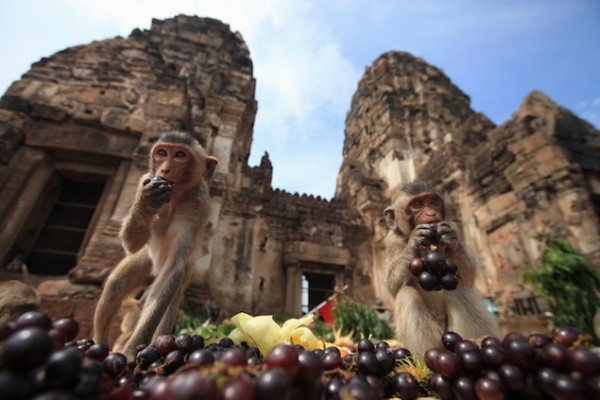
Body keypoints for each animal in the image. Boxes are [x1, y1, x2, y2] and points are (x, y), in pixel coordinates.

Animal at [92, 130, 217, 358]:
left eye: (179, 155)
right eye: (161, 153)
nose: (164, 169)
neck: (174, 198)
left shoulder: (199, 204)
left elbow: (173, 267)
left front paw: (131, 352)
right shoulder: (144, 179)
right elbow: (132, 244)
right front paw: (146, 201)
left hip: (184, 275)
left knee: (172, 293)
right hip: (146, 261)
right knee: (115, 284)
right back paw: (99, 344)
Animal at [384, 180, 502, 354]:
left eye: (434, 202)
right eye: (417, 204)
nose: (431, 214)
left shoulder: (454, 226)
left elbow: (470, 275)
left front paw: (450, 238)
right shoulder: (392, 240)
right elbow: (392, 287)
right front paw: (414, 241)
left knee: (459, 286)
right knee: (406, 294)